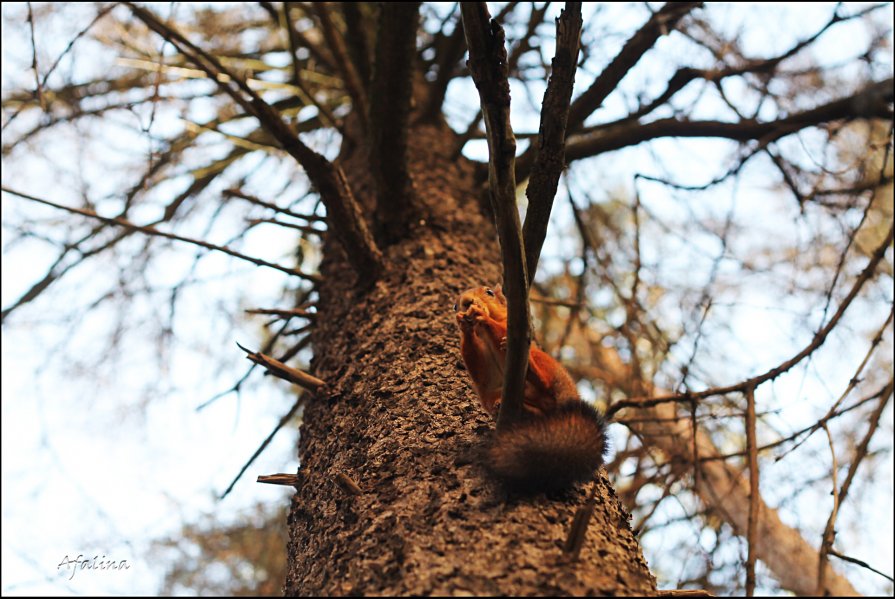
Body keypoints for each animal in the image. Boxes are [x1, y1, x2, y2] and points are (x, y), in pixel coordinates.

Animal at [456, 286, 608, 492]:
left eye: (489, 292)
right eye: (455, 305)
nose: (466, 302)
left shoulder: (514, 329)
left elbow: (499, 329)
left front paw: (482, 315)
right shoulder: (486, 376)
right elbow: (480, 371)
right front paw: (463, 324)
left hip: (543, 362)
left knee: (545, 383)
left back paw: (531, 372)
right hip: (497, 396)